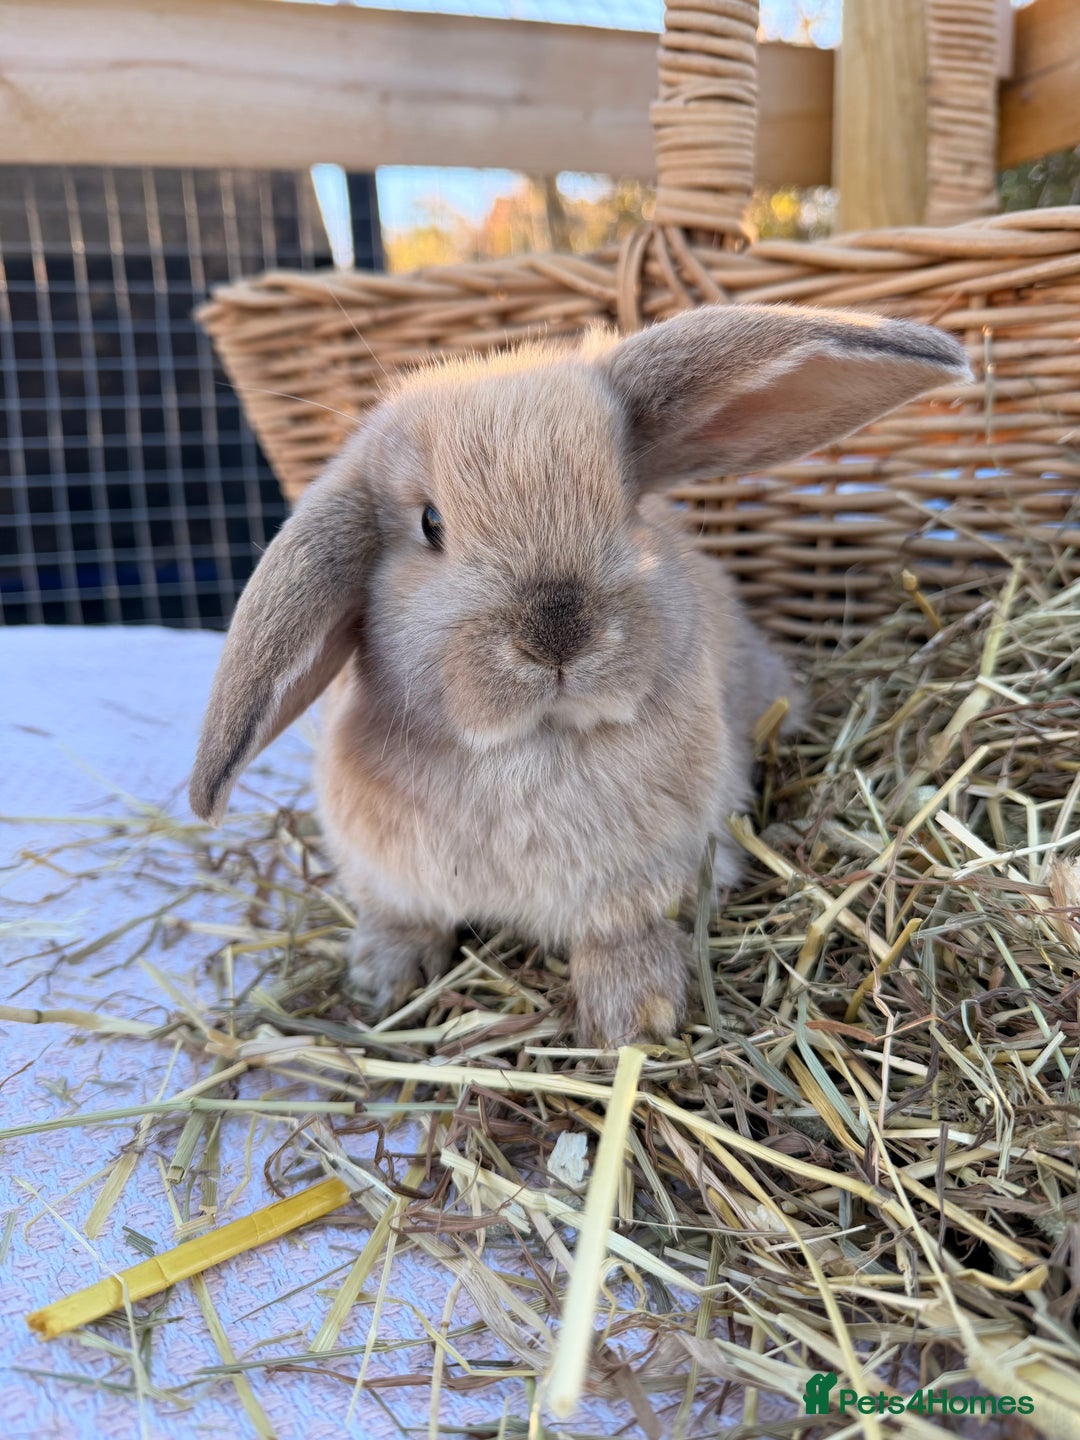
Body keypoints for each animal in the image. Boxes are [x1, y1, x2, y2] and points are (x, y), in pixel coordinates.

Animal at [189, 303, 969, 1045]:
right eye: (431, 525)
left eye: (625, 503)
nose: (559, 633)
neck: (529, 745)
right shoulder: (387, 874)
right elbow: (402, 919)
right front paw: (381, 978)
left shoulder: (647, 878)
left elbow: (620, 935)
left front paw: (636, 1018)